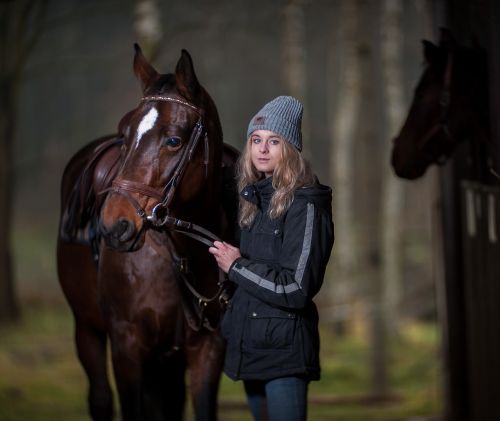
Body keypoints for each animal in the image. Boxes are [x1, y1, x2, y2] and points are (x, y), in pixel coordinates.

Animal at [57, 46, 237, 420]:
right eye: (125, 135)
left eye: (174, 140)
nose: (114, 224)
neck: (181, 255)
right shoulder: (126, 346)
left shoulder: (208, 348)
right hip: (87, 329)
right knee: (100, 398)